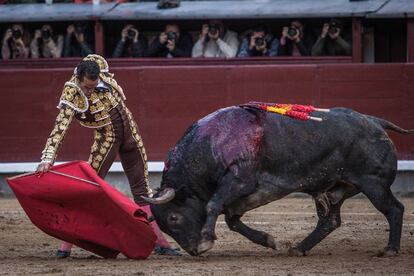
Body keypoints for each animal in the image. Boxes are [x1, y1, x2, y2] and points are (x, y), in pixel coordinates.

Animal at [142, 105, 410, 256]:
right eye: (165, 226)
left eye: (174, 218)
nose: (194, 251)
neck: (210, 144)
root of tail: (374, 121)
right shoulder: (242, 195)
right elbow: (231, 220)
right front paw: (268, 241)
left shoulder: (238, 181)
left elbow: (213, 206)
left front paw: (208, 239)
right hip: (333, 190)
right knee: (330, 221)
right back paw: (299, 248)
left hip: (374, 184)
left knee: (394, 209)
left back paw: (390, 249)